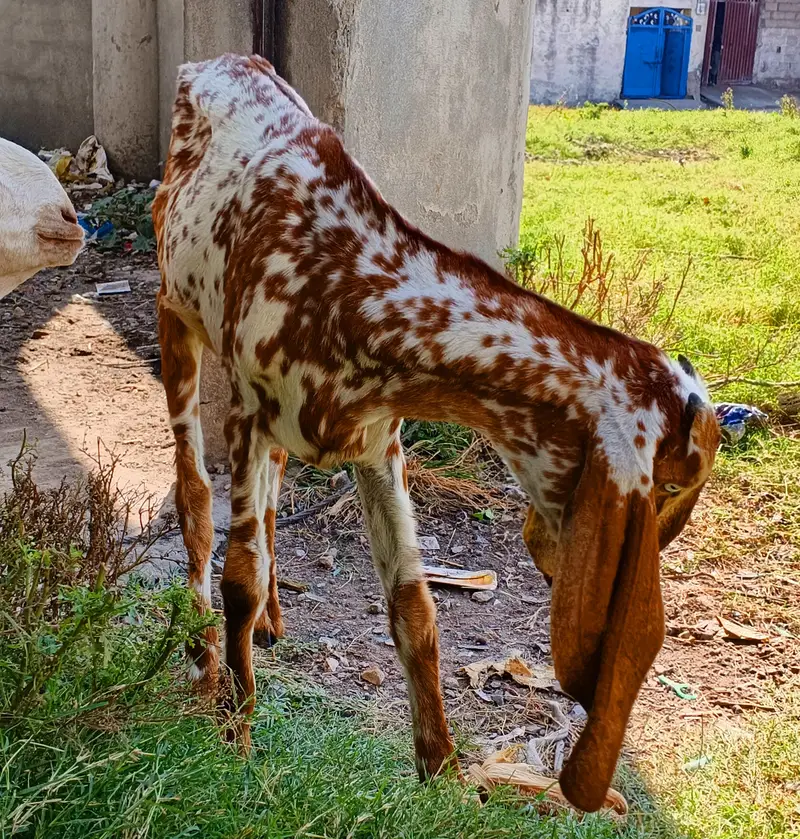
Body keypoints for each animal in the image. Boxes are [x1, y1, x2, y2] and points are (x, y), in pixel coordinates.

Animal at [153, 55, 720, 813]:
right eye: (671, 485)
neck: (350, 283)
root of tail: (215, 62)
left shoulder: (376, 442)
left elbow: (415, 608)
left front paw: (443, 768)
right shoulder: (244, 414)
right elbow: (238, 576)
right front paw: (235, 738)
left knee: (270, 502)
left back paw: (272, 619)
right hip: (176, 314)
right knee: (193, 498)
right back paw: (203, 649)